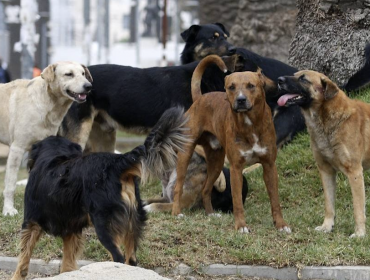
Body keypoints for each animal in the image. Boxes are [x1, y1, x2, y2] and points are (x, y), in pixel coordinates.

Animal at [0, 61, 92, 217]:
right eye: (69, 74)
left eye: (83, 74)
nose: (88, 86)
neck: (46, 103)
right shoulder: (17, 149)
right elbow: (11, 184)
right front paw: (8, 210)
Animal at [10, 107, 189, 280]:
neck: (55, 156)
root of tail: (117, 162)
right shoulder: (71, 230)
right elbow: (67, 263)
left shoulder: (31, 222)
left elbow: (24, 258)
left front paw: (17, 276)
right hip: (133, 222)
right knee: (131, 260)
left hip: (105, 225)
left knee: (118, 257)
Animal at [172, 55, 290, 234]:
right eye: (231, 87)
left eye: (251, 86)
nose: (241, 100)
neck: (250, 124)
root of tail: (200, 98)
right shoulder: (236, 168)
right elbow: (237, 202)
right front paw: (241, 226)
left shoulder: (269, 165)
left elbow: (275, 200)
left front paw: (281, 225)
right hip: (185, 155)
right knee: (178, 186)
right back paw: (177, 212)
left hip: (216, 162)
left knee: (206, 189)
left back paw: (211, 213)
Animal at [278, 70, 370, 236]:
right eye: (295, 74)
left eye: (303, 79)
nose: (279, 80)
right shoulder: (326, 171)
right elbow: (329, 204)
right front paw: (327, 226)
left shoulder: (354, 173)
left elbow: (358, 208)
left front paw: (359, 233)